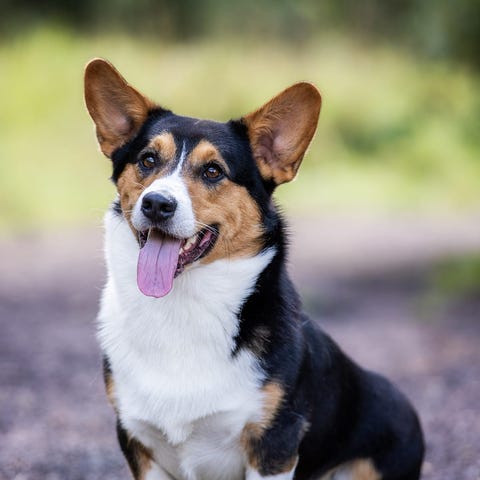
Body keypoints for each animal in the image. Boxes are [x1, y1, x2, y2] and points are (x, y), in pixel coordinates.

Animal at [84, 58, 424, 480]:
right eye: (147, 160)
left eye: (213, 171)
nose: (157, 204)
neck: (182, 306)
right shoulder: (138, 443)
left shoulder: (273, 445)